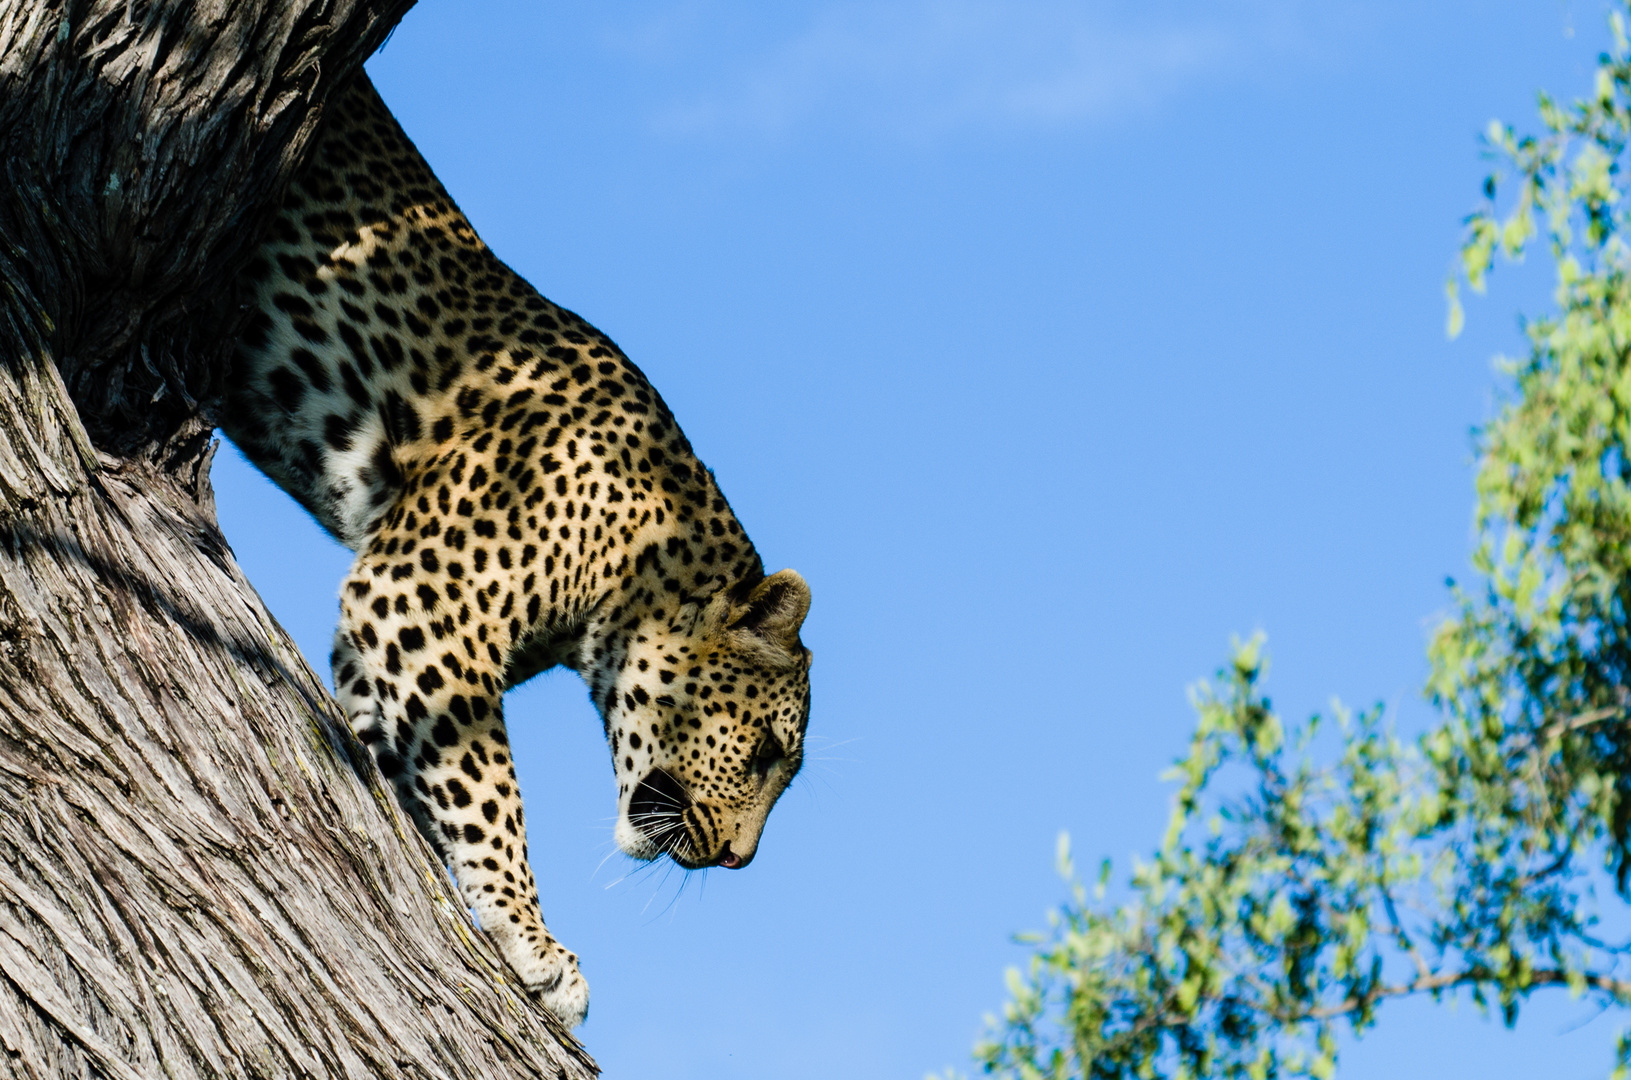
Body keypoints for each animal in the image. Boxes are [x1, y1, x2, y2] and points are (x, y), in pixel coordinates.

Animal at [213, 76, 812, 1031]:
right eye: (761, 752)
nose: (738, 861)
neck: (639, 564)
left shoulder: (381, 638)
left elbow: (405, 759)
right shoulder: (425, 600)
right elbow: (489, 792)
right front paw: (535, 940)